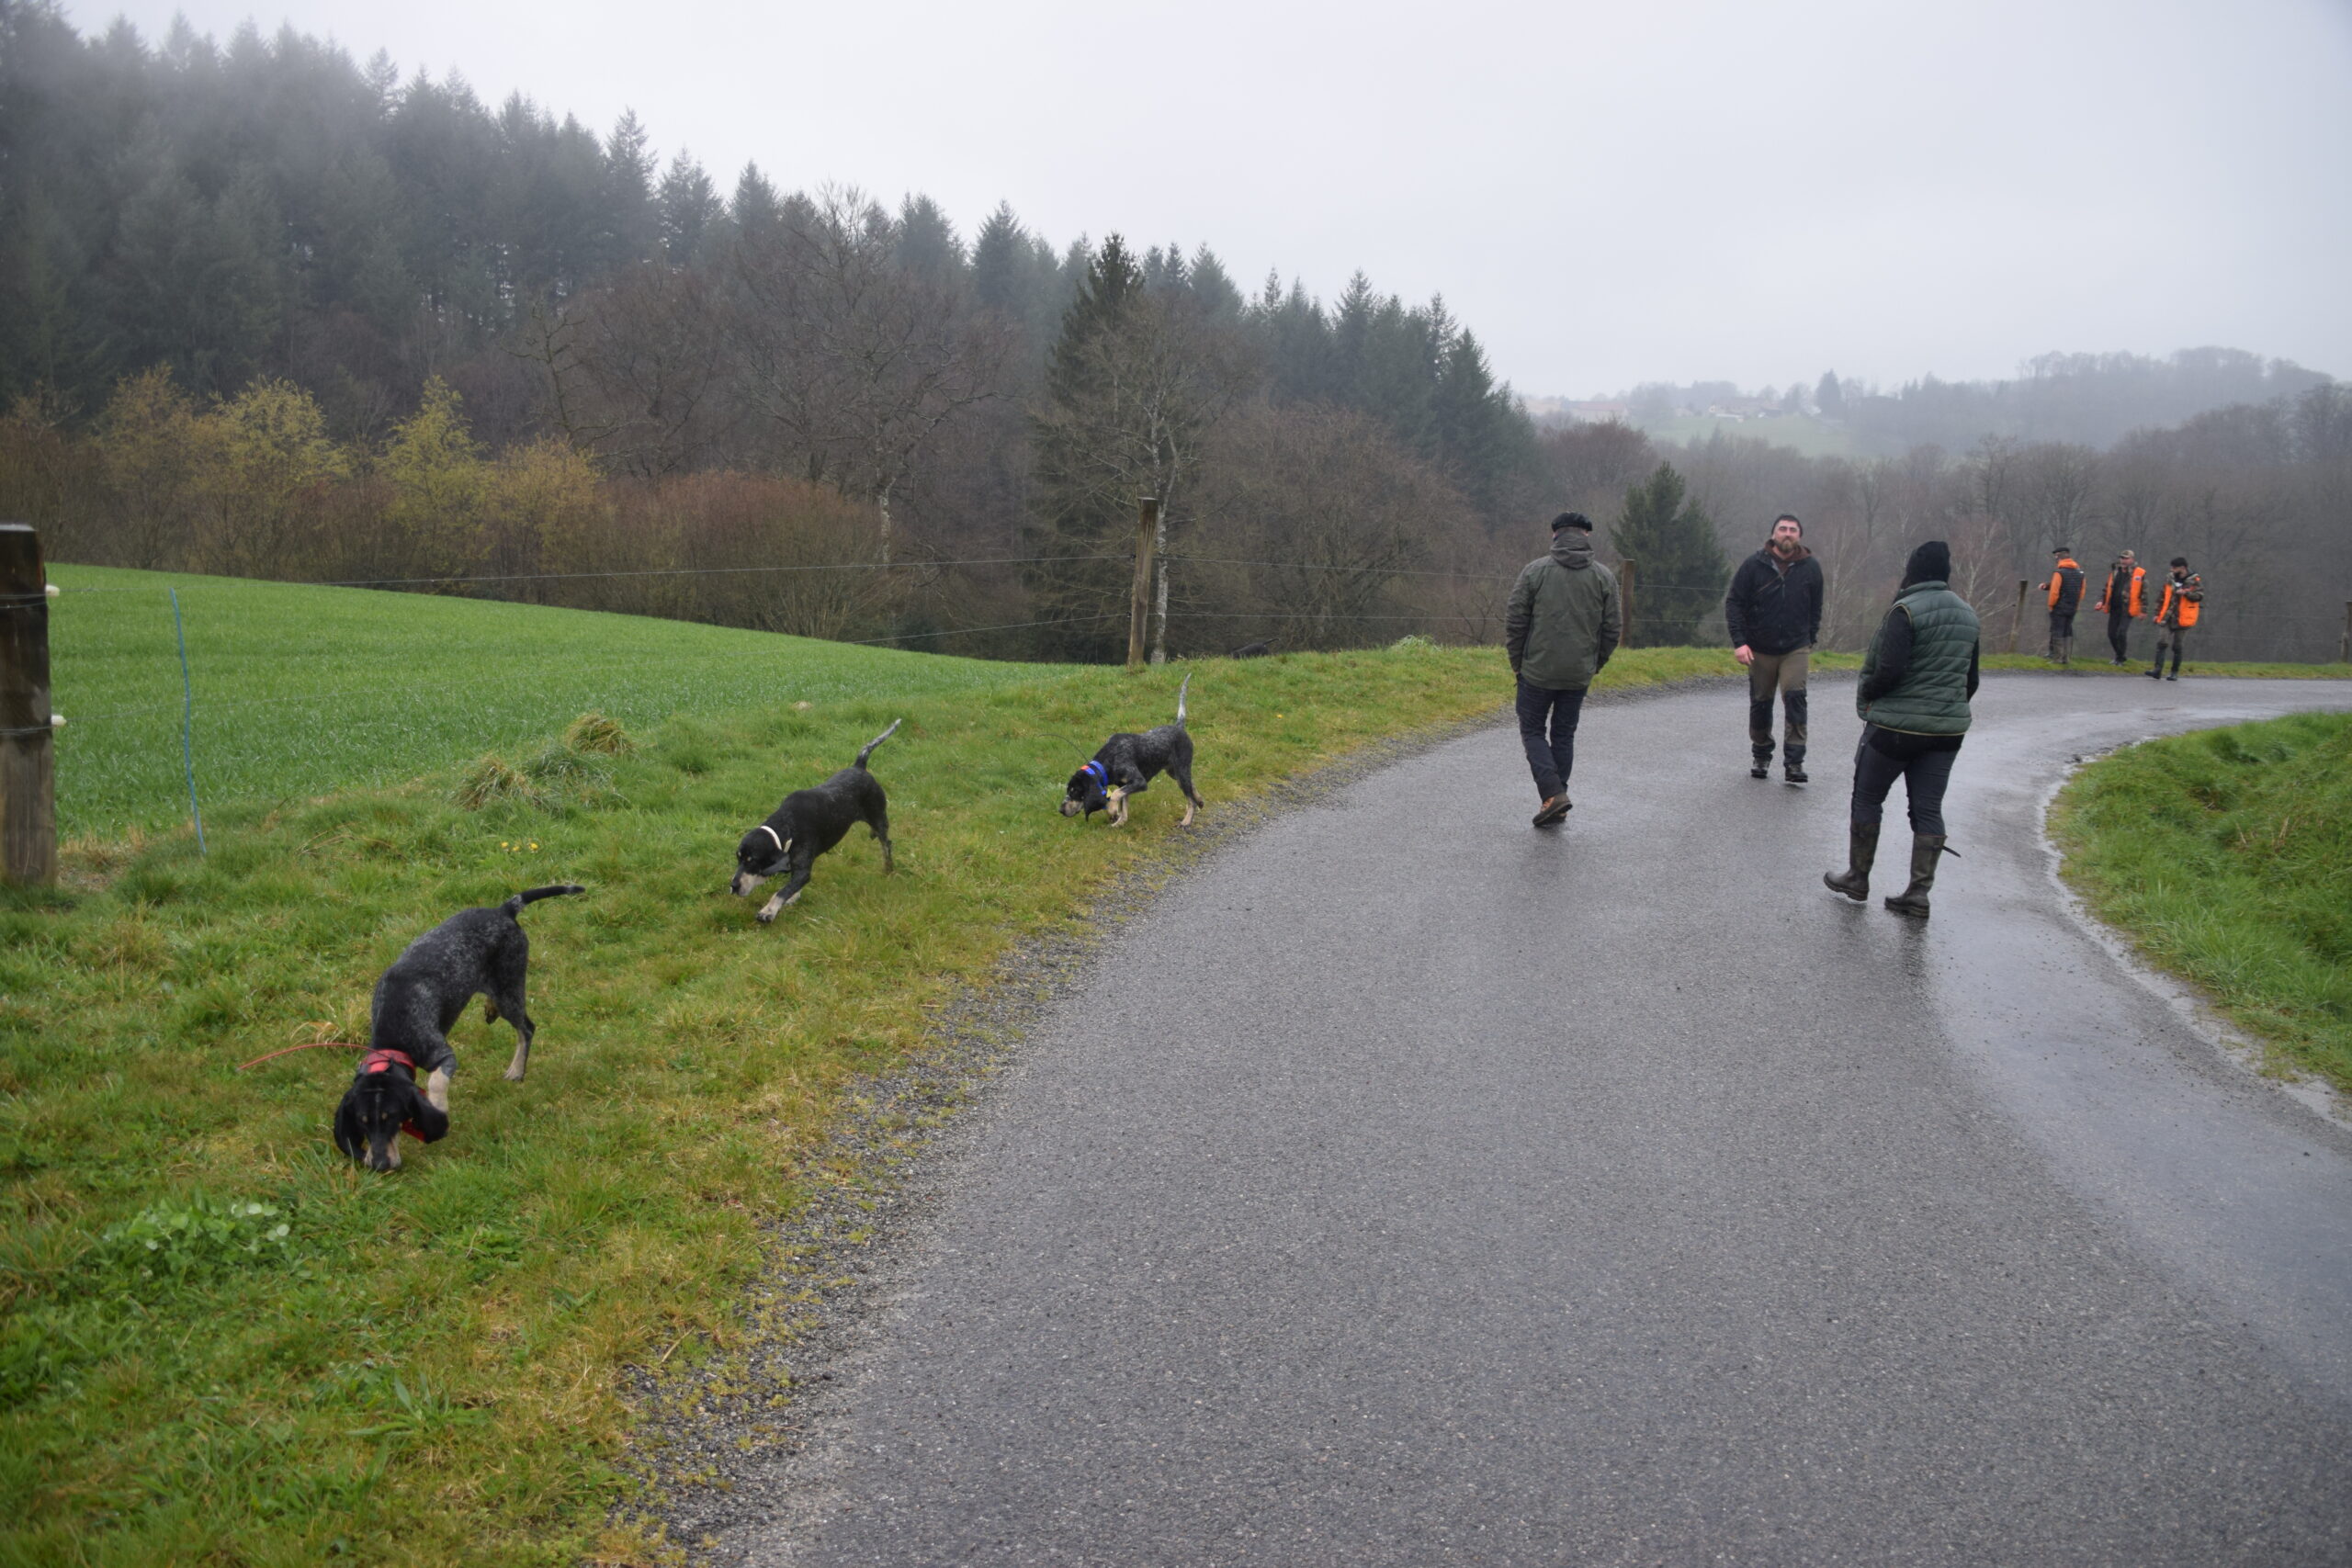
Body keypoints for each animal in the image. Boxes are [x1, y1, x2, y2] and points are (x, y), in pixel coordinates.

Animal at [333, 883, 584, 1171]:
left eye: (393, 1118)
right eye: (362, 1122)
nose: (380, 1165)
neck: (392, 1041)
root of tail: (504, 909)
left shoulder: (442, 1054)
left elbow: (436, 1082)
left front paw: (438, 1109)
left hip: (509, 989)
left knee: (527, 1028)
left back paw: (516, 1070)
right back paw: (490, 1008)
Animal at [732, 720, 900, 923]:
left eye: (752, 861)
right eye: (738, 858)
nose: (733, 886)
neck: (787, 827)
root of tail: (859, 766)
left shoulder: (803, 869)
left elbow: (781, 892)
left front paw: (768, 911)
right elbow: (791, 886)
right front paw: (793, 897)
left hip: (879, 818)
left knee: (887, 844)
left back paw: (888, 869)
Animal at [1062, 673, 1202, 828]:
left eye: (1075, 791)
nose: (1060, 810)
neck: (1109, 758)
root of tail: (1178, 726)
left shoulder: (1139, 782)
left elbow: (1115, 795)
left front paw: (1112, 811)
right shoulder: (1125, 785)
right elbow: (1124, 806)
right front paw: (1120, 822)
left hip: (1181, 770)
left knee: (1190, 799)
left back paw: (1187, 821)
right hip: (1174, 772)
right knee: (1192, 784)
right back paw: (1200, 800)